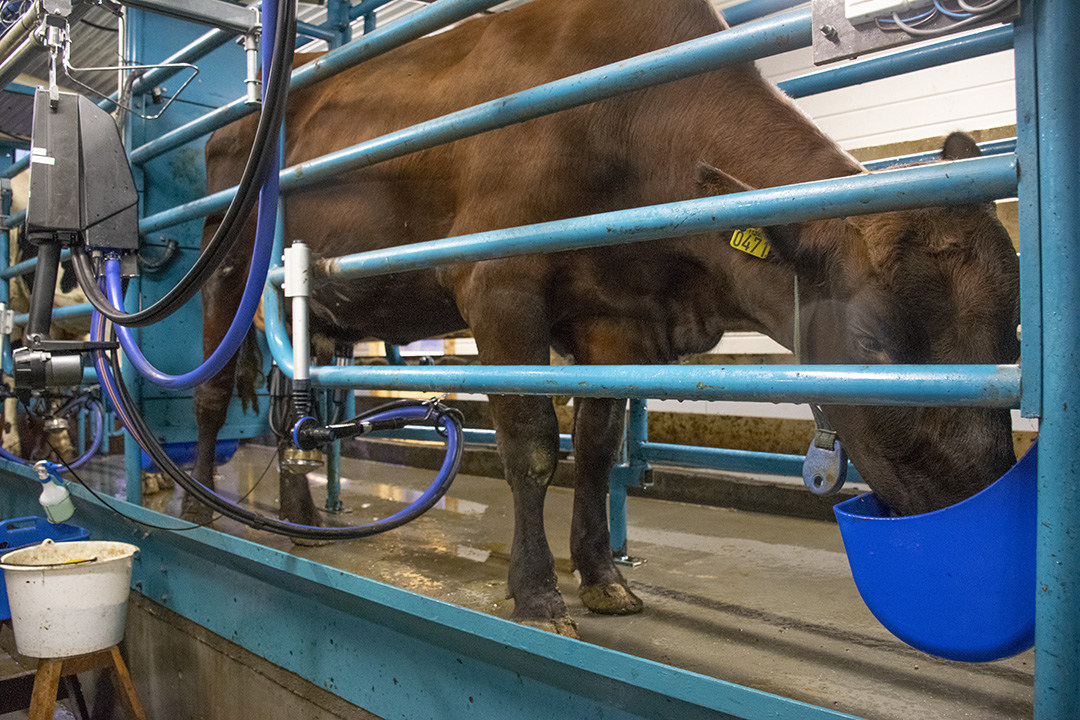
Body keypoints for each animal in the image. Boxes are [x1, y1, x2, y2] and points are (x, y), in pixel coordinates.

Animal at [190, 0, 1021, 638]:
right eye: (875, 344)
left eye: (1011, 335)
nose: (977, 503)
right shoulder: (499, 285)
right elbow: (532, 449)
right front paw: (537, 593)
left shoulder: (615, 320)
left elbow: (594, 450)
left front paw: (600, 579)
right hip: (224, 276)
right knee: (208, 392)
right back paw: (196, 502)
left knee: (291, 412)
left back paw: (300, 518)